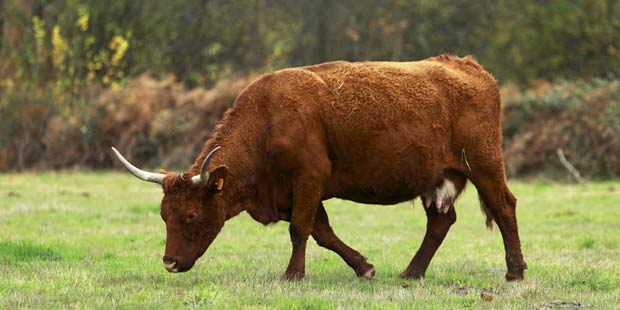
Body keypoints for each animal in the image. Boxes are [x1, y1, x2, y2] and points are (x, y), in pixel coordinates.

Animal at [112, 54, 528, 282]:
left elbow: (300, 229)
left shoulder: (309, 178)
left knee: (504, 207)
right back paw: (413, 272)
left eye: (191, 215)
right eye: (164, 215)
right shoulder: (294, 192)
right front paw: (363, 267)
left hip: (485, 164)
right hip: (436, 177)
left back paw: (515, 271)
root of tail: (468, 67)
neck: (268, 118)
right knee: (441, 222)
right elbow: (321, 232)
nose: (169, 262)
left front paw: (293, 274)